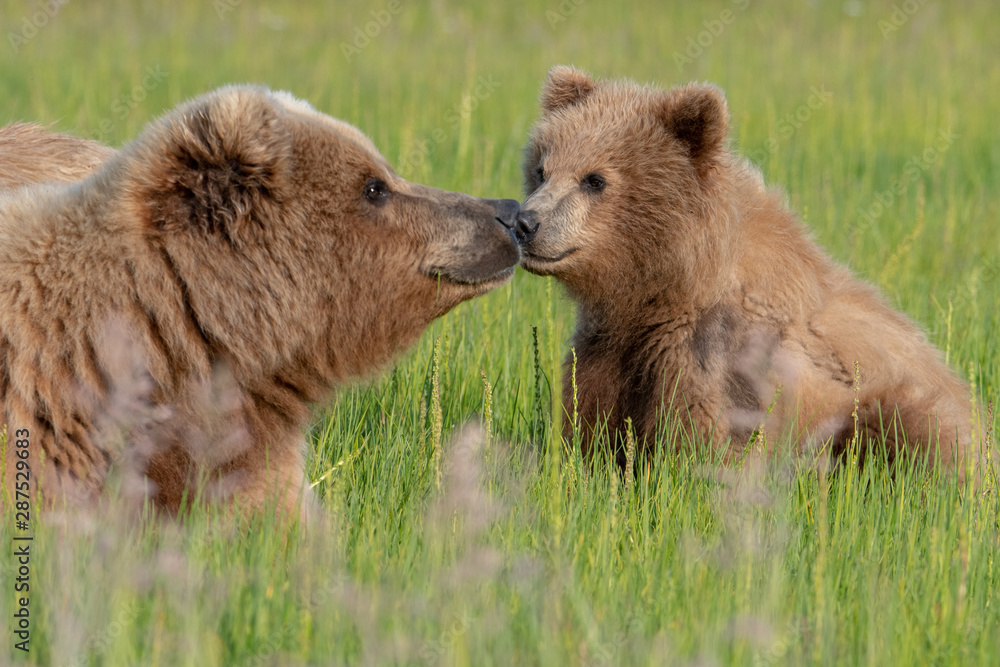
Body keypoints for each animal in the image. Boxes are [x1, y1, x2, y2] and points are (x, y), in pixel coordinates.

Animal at [516, 66, 979, 473]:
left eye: (595, 179)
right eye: (541, 170)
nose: (525, 222)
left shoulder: (718, 353)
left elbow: (710, 441)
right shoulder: (610, 347)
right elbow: (587, 424)